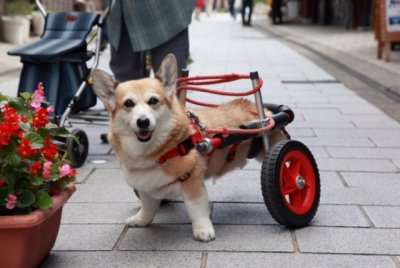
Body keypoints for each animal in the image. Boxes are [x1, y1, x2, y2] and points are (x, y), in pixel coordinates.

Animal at [92, 53, 286, 242]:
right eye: (128, 103)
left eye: (153, 100)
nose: (143, 121)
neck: (157, 153)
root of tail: (255, 107)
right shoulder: (145, 187)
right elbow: (147, 207)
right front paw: (141, 220)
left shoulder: (192, 183)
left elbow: (196, 210)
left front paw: (203, 231)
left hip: (273, 146)